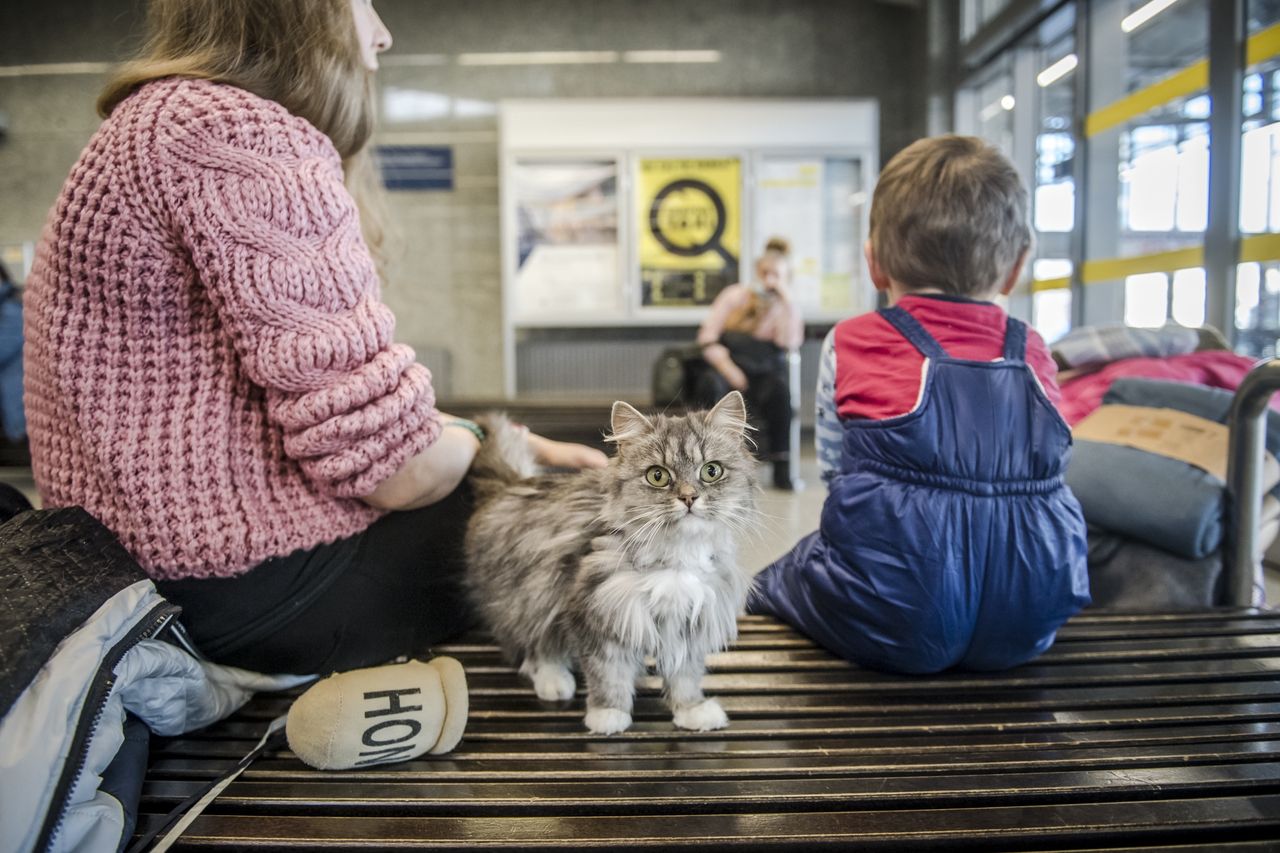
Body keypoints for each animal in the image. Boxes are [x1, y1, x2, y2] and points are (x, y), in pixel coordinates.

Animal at [465, 391, 752, 732]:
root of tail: (514, 483)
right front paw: (608, 715)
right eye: (658, 476)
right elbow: (608, 675)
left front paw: (692, 711)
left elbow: (686, 676)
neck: (674, 555)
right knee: (537, 647)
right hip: (532, 595)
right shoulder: (595, 611)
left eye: (711, 471)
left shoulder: (691, 618)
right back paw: (554, 681)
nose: (688, 498)